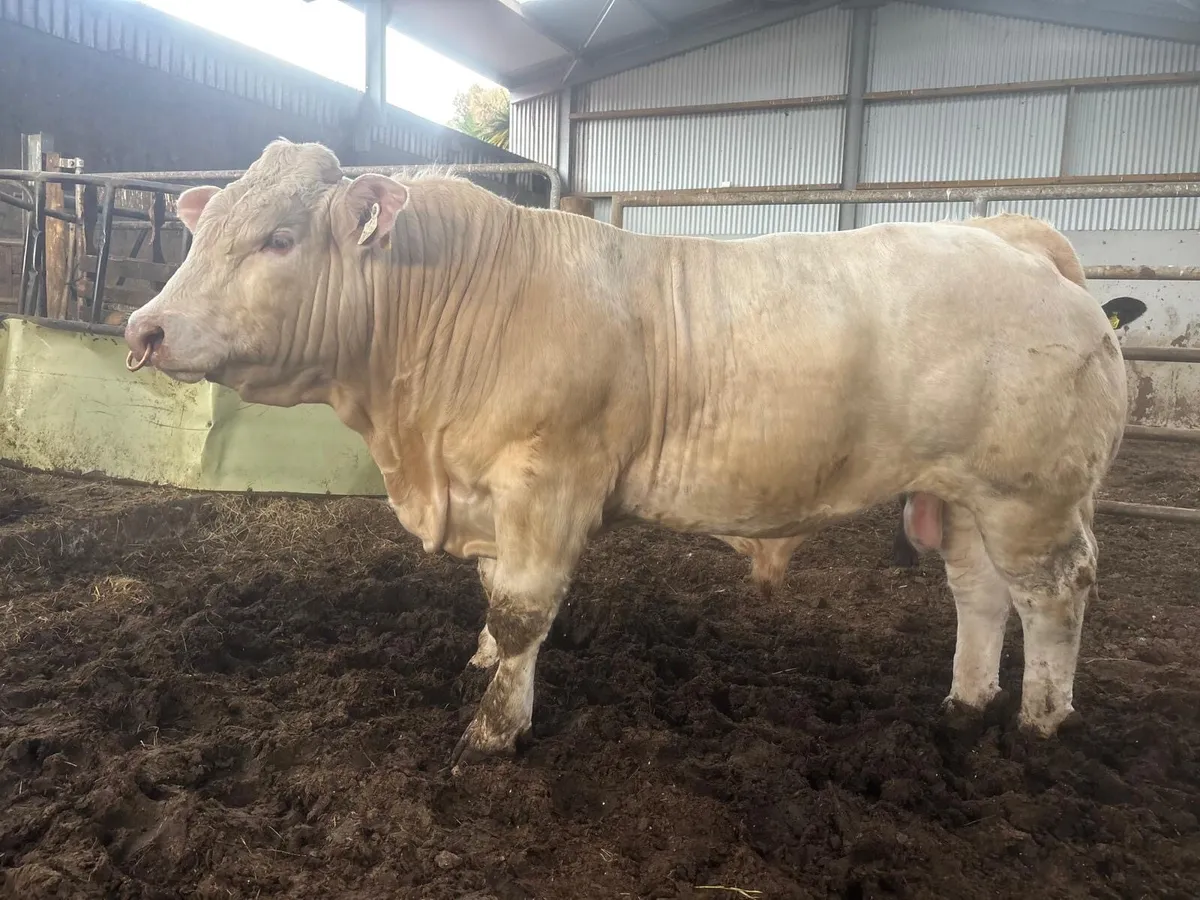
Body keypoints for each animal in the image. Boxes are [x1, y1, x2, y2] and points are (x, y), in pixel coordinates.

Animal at [124, 140, 1131, 765]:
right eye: (201, 231)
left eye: (279, 238)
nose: (144, 328)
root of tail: (1014, 240)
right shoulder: (489, 495)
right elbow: (493, 597)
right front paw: (480, 665)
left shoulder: (547, 483)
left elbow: (524, 612)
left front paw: (493, 732)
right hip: (961, 494)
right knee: (979, 592)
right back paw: (963, 706)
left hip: (1030, 495)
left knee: (1055, 594)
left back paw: (1040, 722)